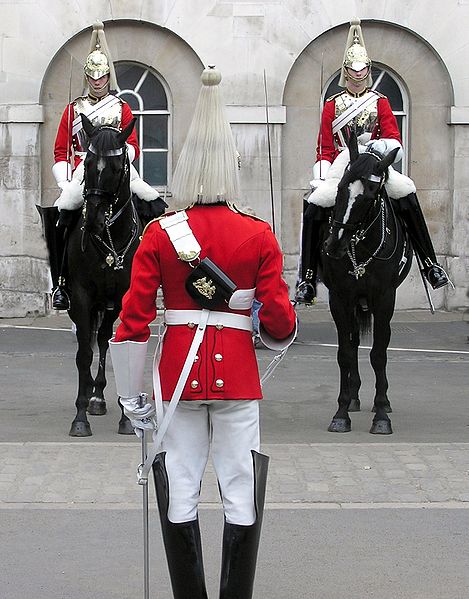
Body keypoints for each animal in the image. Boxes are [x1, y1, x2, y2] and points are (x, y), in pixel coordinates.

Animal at [320, 134, 412, 434]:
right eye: (340, 187)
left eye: (371, 192)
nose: (333, 246)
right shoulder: (339, 298)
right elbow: (345, 353)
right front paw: (340, 413)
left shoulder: (384, 298)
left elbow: (379, 354)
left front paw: (382, 413)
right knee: (352, 341)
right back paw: (353, 397)